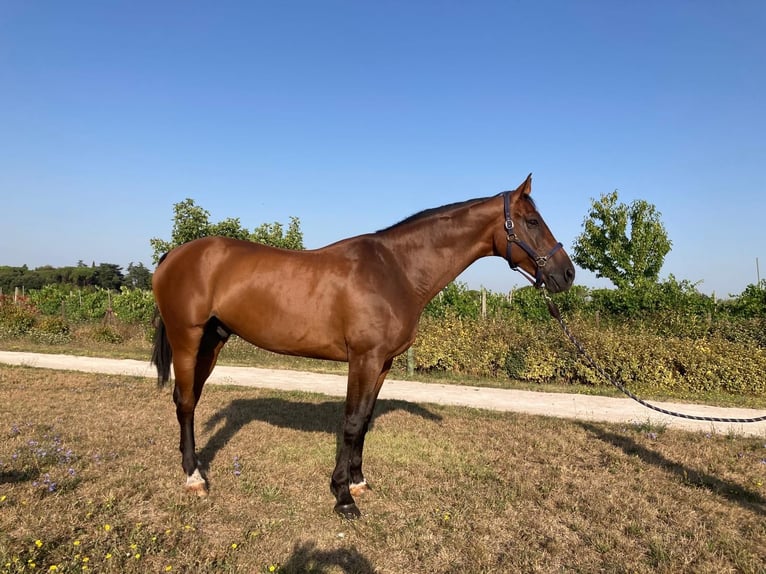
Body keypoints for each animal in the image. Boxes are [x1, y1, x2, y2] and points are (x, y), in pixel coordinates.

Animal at [152, 173, 576, 520]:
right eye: (533, 221)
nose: (567, 274)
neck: (397, 270)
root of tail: (174, 255)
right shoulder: (364, 359)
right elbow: (353, 422)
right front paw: (342, 497)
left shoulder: (382, 364)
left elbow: (366, 420)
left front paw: (357, 481)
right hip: (188, 338)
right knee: (185, 402)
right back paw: (194, 477)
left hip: (213, 341)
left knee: (189, 398)